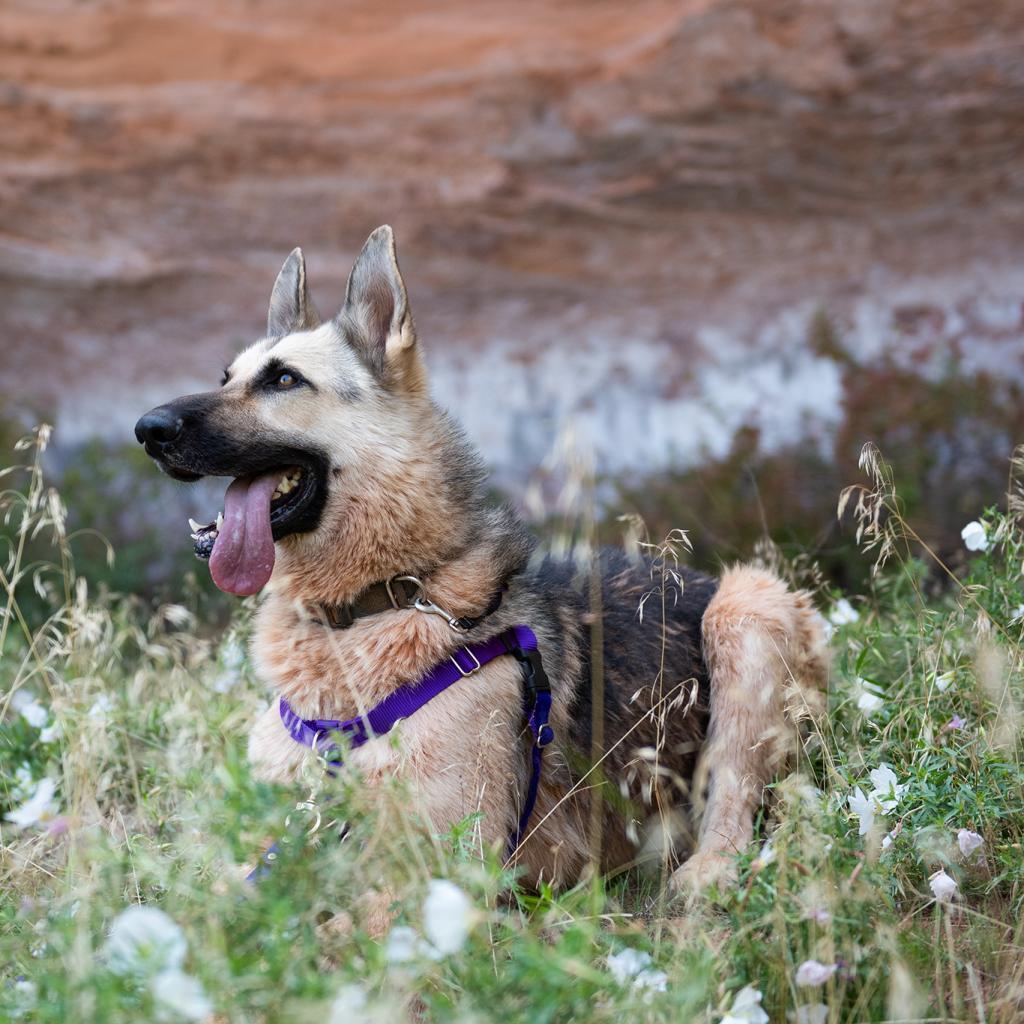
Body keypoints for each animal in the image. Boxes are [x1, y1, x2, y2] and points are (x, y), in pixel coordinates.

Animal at [134, 228, 823, 925]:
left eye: (283, 379)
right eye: (226, 377)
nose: (147, 429)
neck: (381, 601)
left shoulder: (436, 873)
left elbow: (345, 934)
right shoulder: (261, 849)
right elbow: (202, 911)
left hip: (746, 608)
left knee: (734, 794)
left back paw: (706, 876)